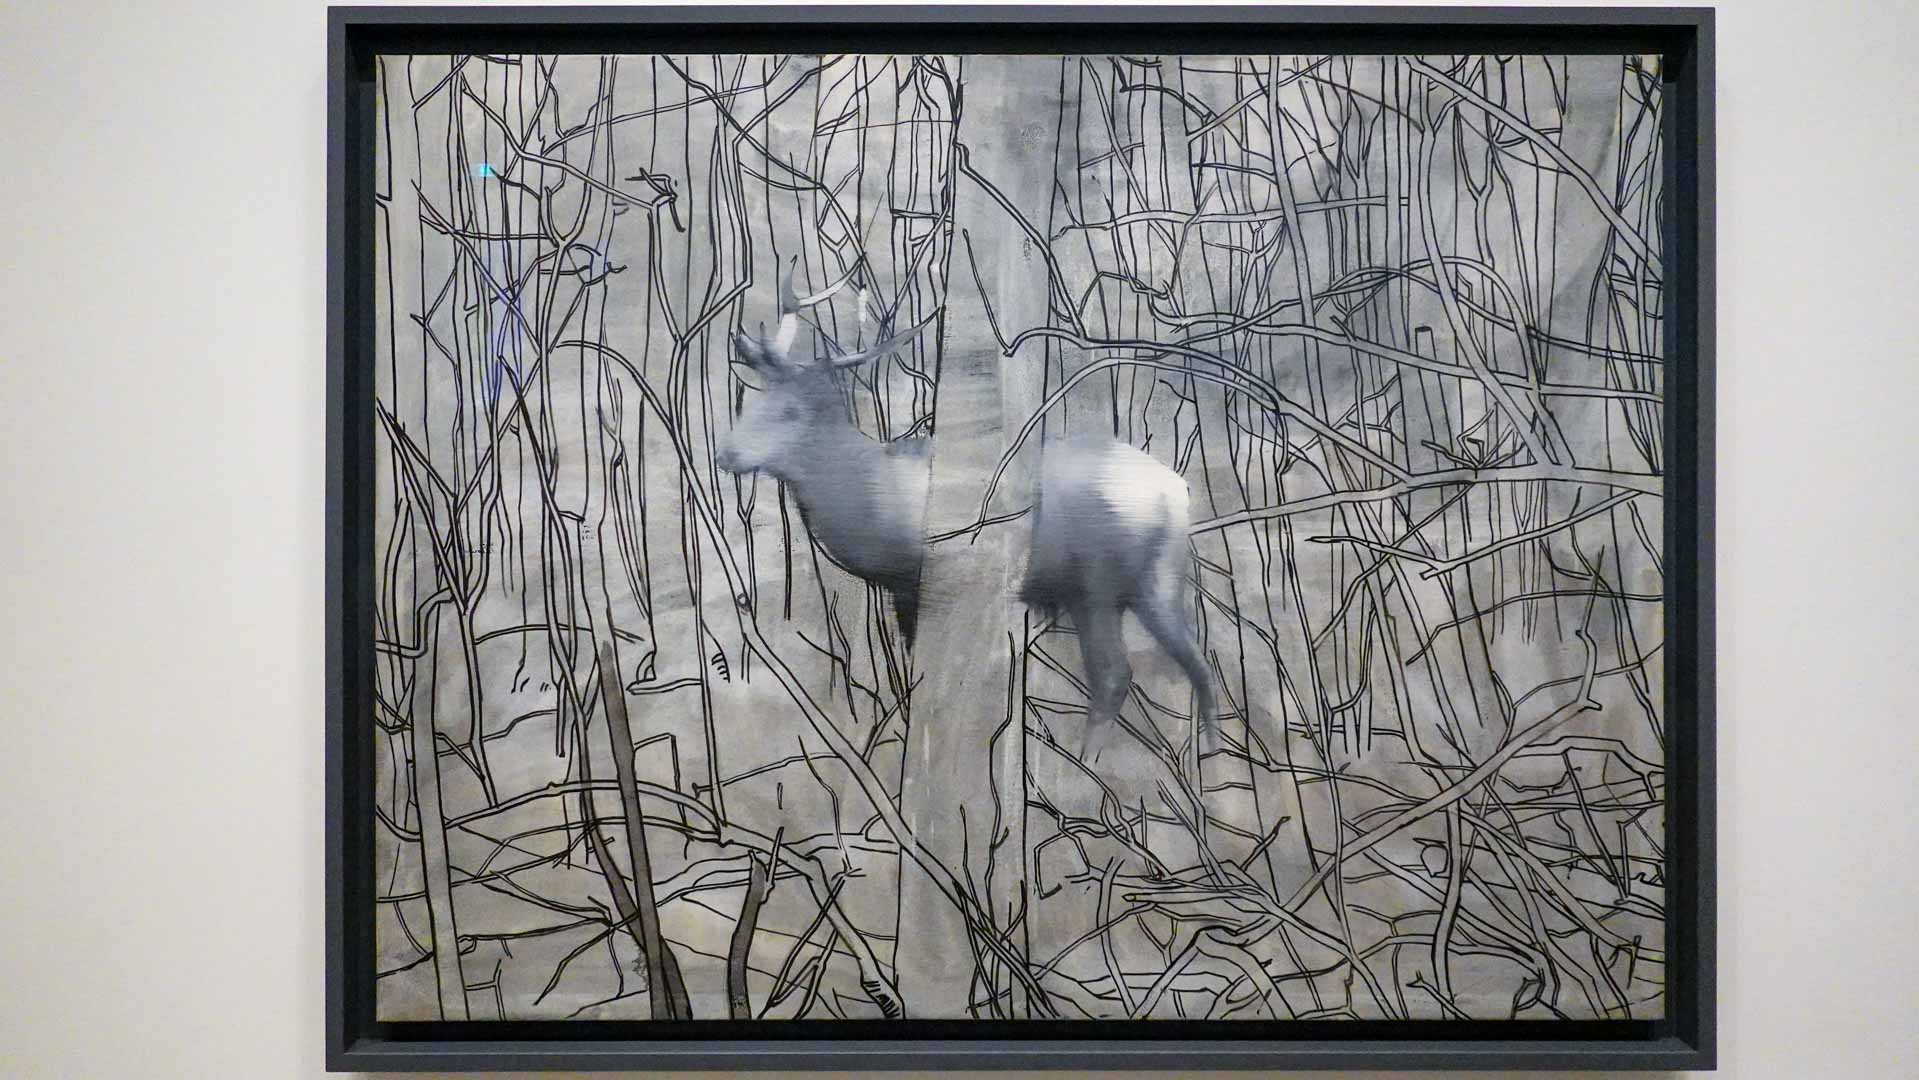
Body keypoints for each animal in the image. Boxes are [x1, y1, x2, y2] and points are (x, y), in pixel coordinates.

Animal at [715, 265, 1217, 761]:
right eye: (754, 398)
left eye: (791, 411)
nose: (726, 454)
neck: (874, 496)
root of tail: (1174, 491)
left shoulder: (920, 580)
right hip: (1158, 578)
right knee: (1197, 662)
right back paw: (1206, 751)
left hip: (1096, 582)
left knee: (1114, 673)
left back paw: (1084, 763)